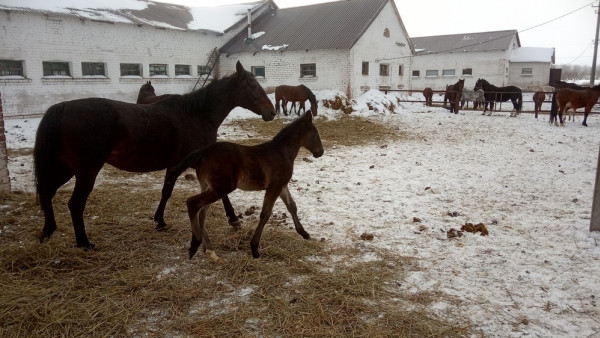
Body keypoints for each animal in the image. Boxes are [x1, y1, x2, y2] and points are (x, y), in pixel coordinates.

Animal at [35, 61, 274, 248]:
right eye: (252, 86)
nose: (271, 112)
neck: (196, 114)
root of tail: (62, 108)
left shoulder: (176, 165)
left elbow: (166, 191)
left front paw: (160, 221)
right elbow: (221, 194)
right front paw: (233, 219)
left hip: (65, 168)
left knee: (47, 192)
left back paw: (48, 231)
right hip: (86, 171)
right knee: (75, 204)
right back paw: (84, 243)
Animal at [164, 111, 324, 262]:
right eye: (315, 133)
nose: (320, 152)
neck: (281, 153)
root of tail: (203, 152)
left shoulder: (282, 186)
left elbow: (292, 206)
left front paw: (304, 233)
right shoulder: (274, 187)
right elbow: (265, 214)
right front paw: (254, 248)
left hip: (208, 186)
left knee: (201, 213)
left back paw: (210, 252)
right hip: (222, 188)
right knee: (193, 203)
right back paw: (195, 245)